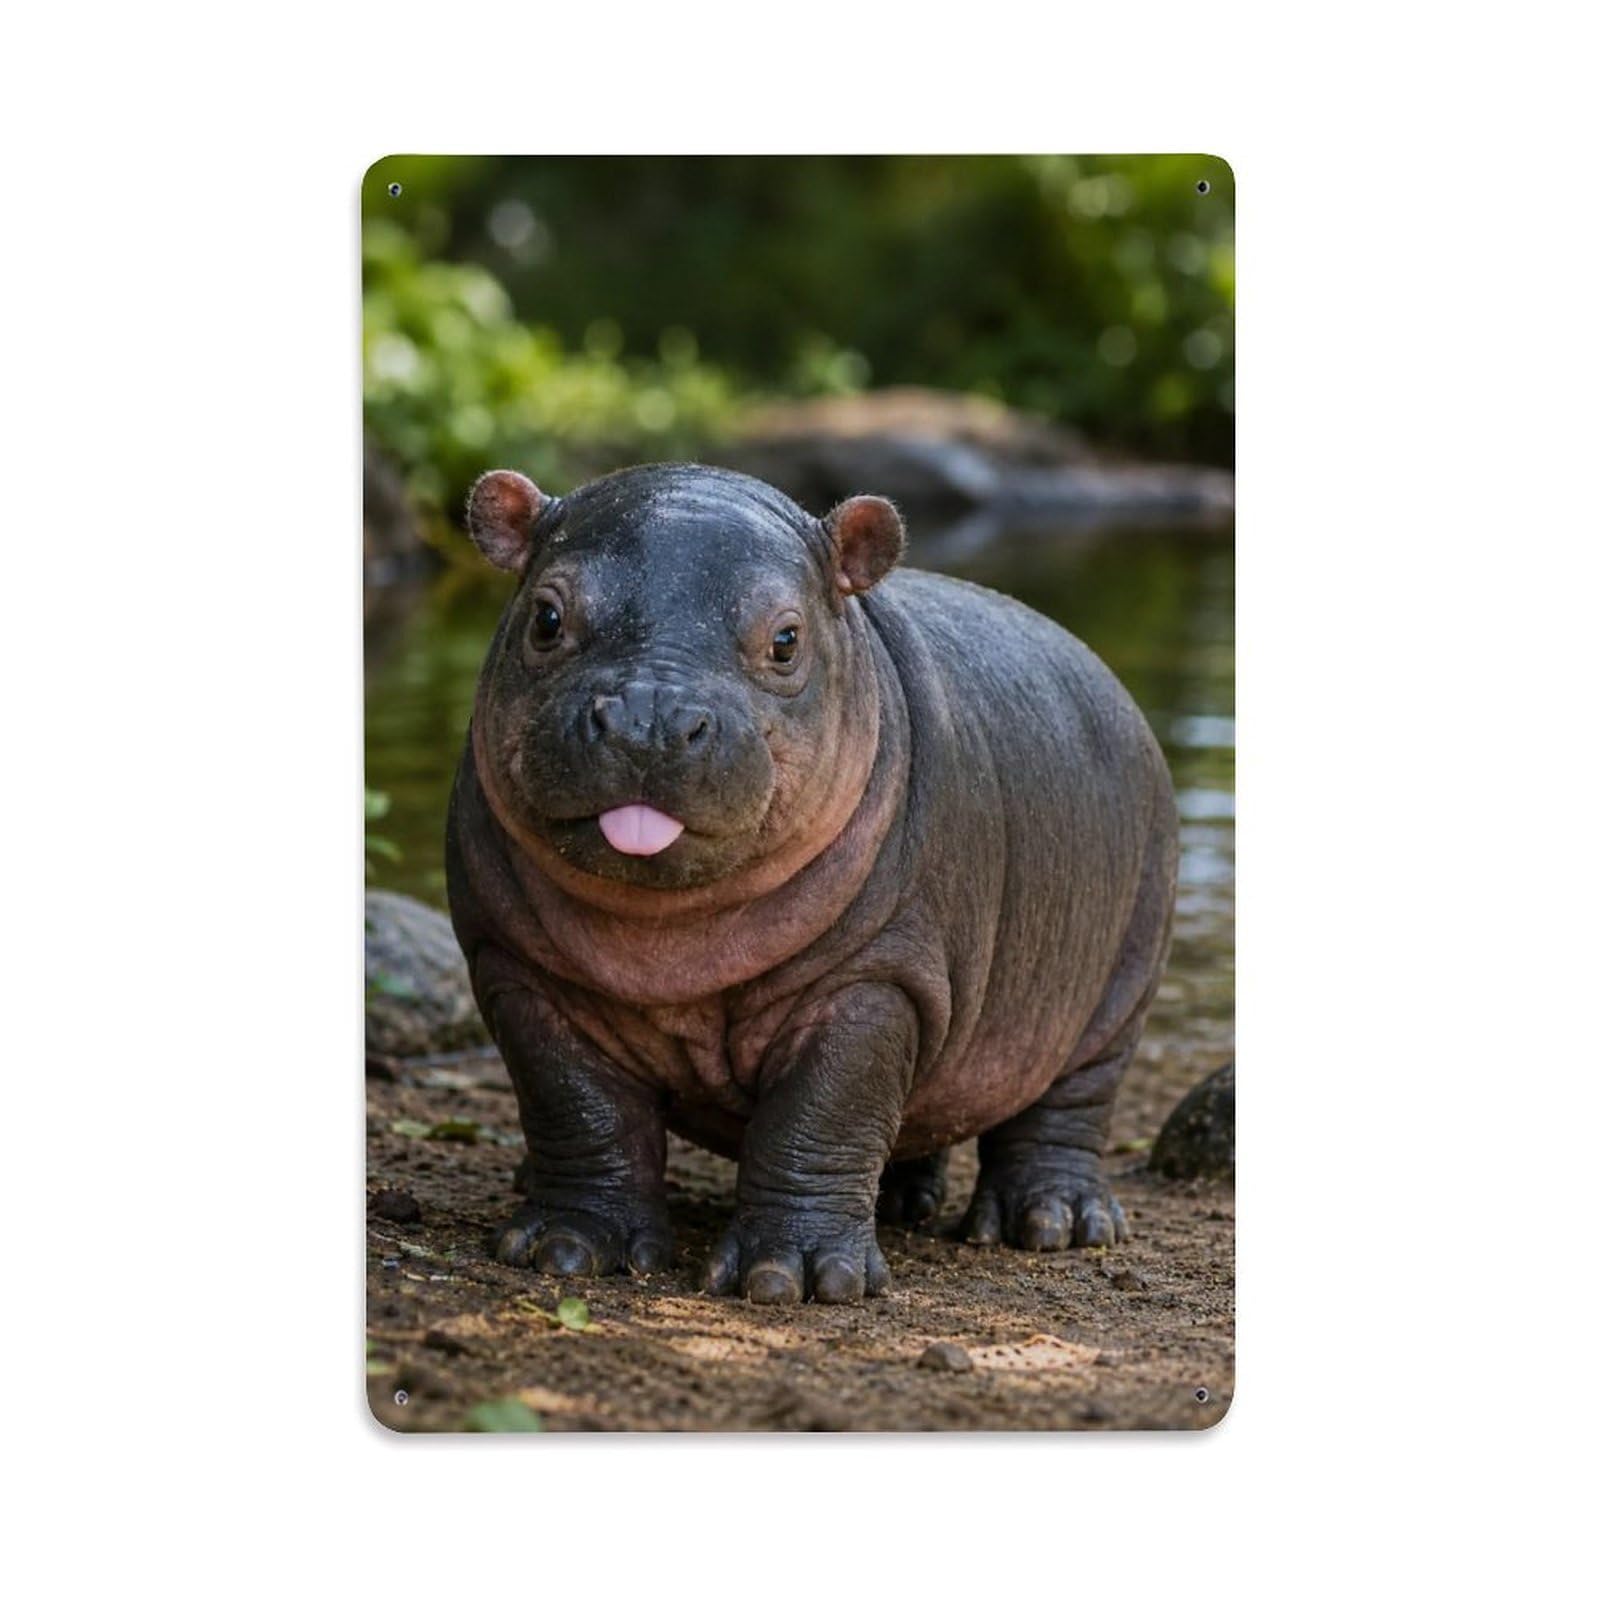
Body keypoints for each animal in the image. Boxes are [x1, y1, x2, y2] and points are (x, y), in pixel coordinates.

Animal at [445, 463, 1178, 1305]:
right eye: (546, 617)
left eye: (787, 640)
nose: (648, 716)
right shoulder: (516, 971)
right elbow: (573, 1105)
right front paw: (563, 1249)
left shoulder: (879, 980)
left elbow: (824, 1113)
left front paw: (792, 1279)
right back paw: (903, 1204)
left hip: (1117, 988)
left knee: (1066, 1107)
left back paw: (1054, 1224)